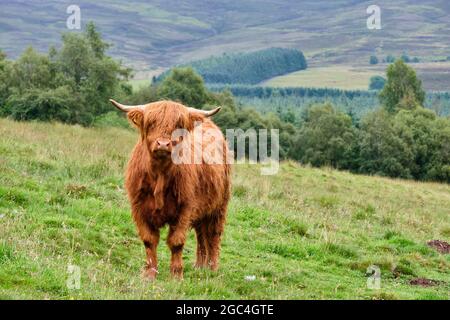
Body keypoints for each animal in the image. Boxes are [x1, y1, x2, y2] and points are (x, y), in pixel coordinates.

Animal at [108, 99, 229, 278]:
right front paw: (149, 274)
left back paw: (212, 268)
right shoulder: (139, 208)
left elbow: (177, 242)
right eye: (151, 122)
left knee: (214, 235)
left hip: (219, 206)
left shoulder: (185, 209)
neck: (159, 174)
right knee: (201, 234)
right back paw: (200, 266)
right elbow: (149, 240)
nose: (164, 144)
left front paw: (176, 275)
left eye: (178, 125)